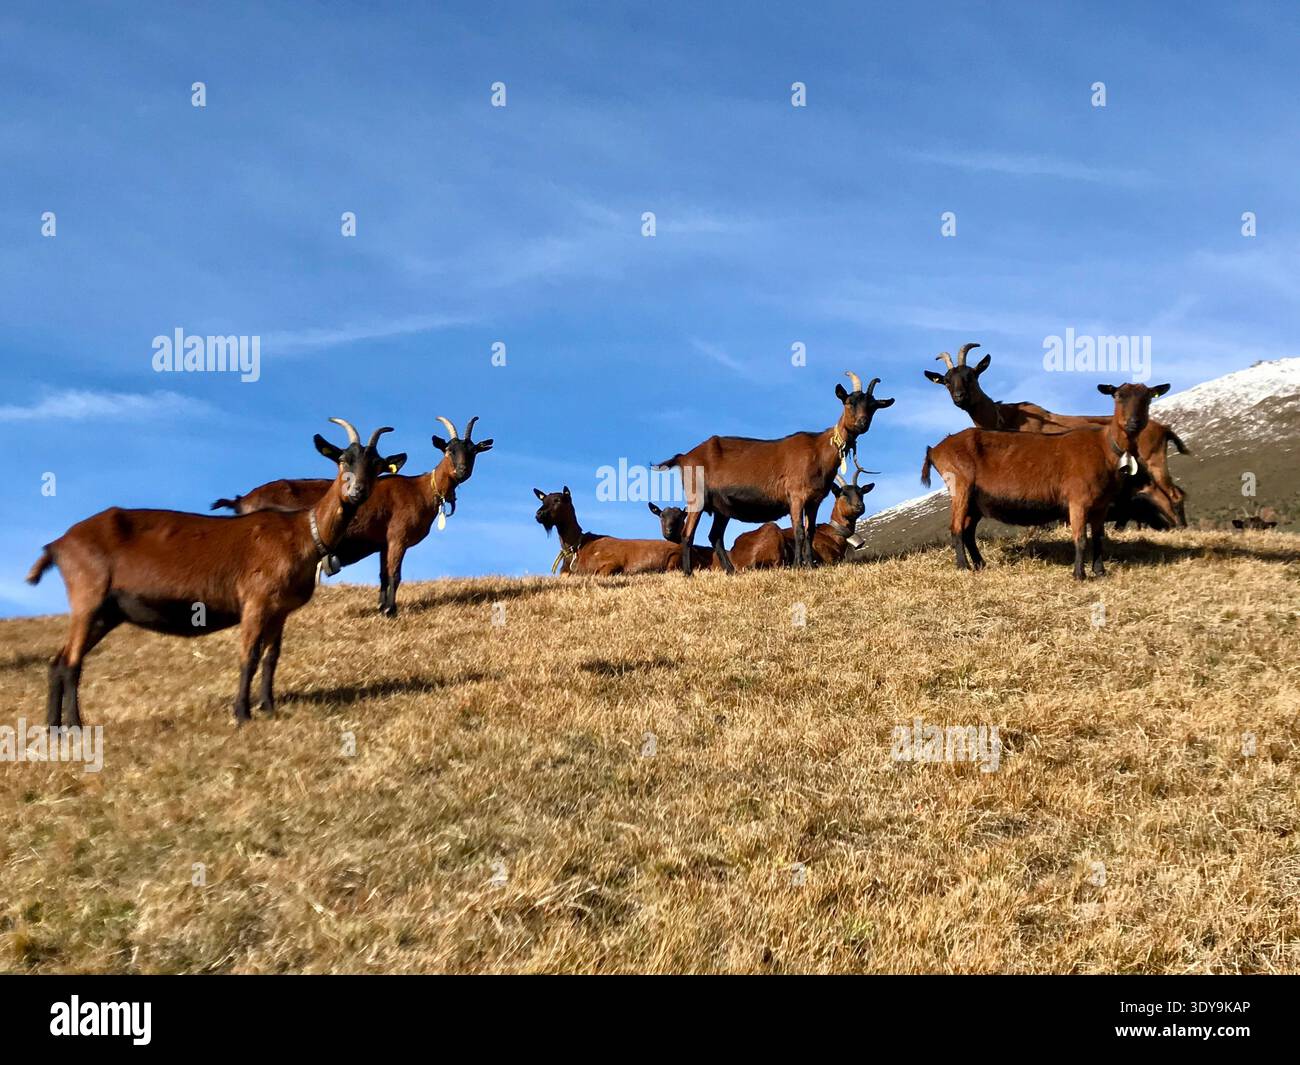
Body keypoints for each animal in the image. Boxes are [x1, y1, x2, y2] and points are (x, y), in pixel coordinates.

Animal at [26, 420, 405, 726]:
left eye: (376, 465)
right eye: (342, 460)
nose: (357, 491)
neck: (302, 531)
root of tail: (58, 544)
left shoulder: (279, 610)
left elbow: (271, 658)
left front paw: (269, 708)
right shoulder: (255, 601)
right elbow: (248, 656)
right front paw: (242, 714)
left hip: (106, 611)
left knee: (58, 661)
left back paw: (54, 729)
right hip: (87, 597)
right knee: (71, 662)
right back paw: (75, 725)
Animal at [212, 416, 492, 616]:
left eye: (473, 451)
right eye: (449, 450)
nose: (462, 470)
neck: (420, 488)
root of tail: (241, 500)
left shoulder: (382, 542)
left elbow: (383, 575)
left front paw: (382, 607)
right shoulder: (397, 537)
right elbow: (395, 574)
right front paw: (391, 611)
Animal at [655, 370, 893, 574]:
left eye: (873, 406)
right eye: (849, 402)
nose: (862, 424)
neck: (819, 449)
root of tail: (685, 456)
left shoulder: (814, 500)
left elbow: (810, 531)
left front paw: (810, 565)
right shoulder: (796, 496)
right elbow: (798, 530)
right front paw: (798, 566)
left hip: (722, 507)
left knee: (715, 536)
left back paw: (731, 571)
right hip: (697, 497)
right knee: (688, 534)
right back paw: (688, 573)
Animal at [921, 382, 1170, 579]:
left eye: (1148, 397)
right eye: (1117, 395)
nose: (1134, 423)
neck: (1105, 447)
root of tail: (936, 449)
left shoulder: (1100, 505)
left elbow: (1098, 538)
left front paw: (1100, 571)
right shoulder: (1077, 500)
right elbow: (1080, 538)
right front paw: (1079, 574)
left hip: (976, 499)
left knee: (968, 530)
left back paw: (980, 564)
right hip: (960, 486)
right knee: (956, 528)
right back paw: (963, 567)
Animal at [923, 343, 1189, 527]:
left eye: (971, 375)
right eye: (946, 381)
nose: (959, 397)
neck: (1005, 417)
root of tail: (1163, 428)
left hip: (1154, 461)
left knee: (1173, 494)